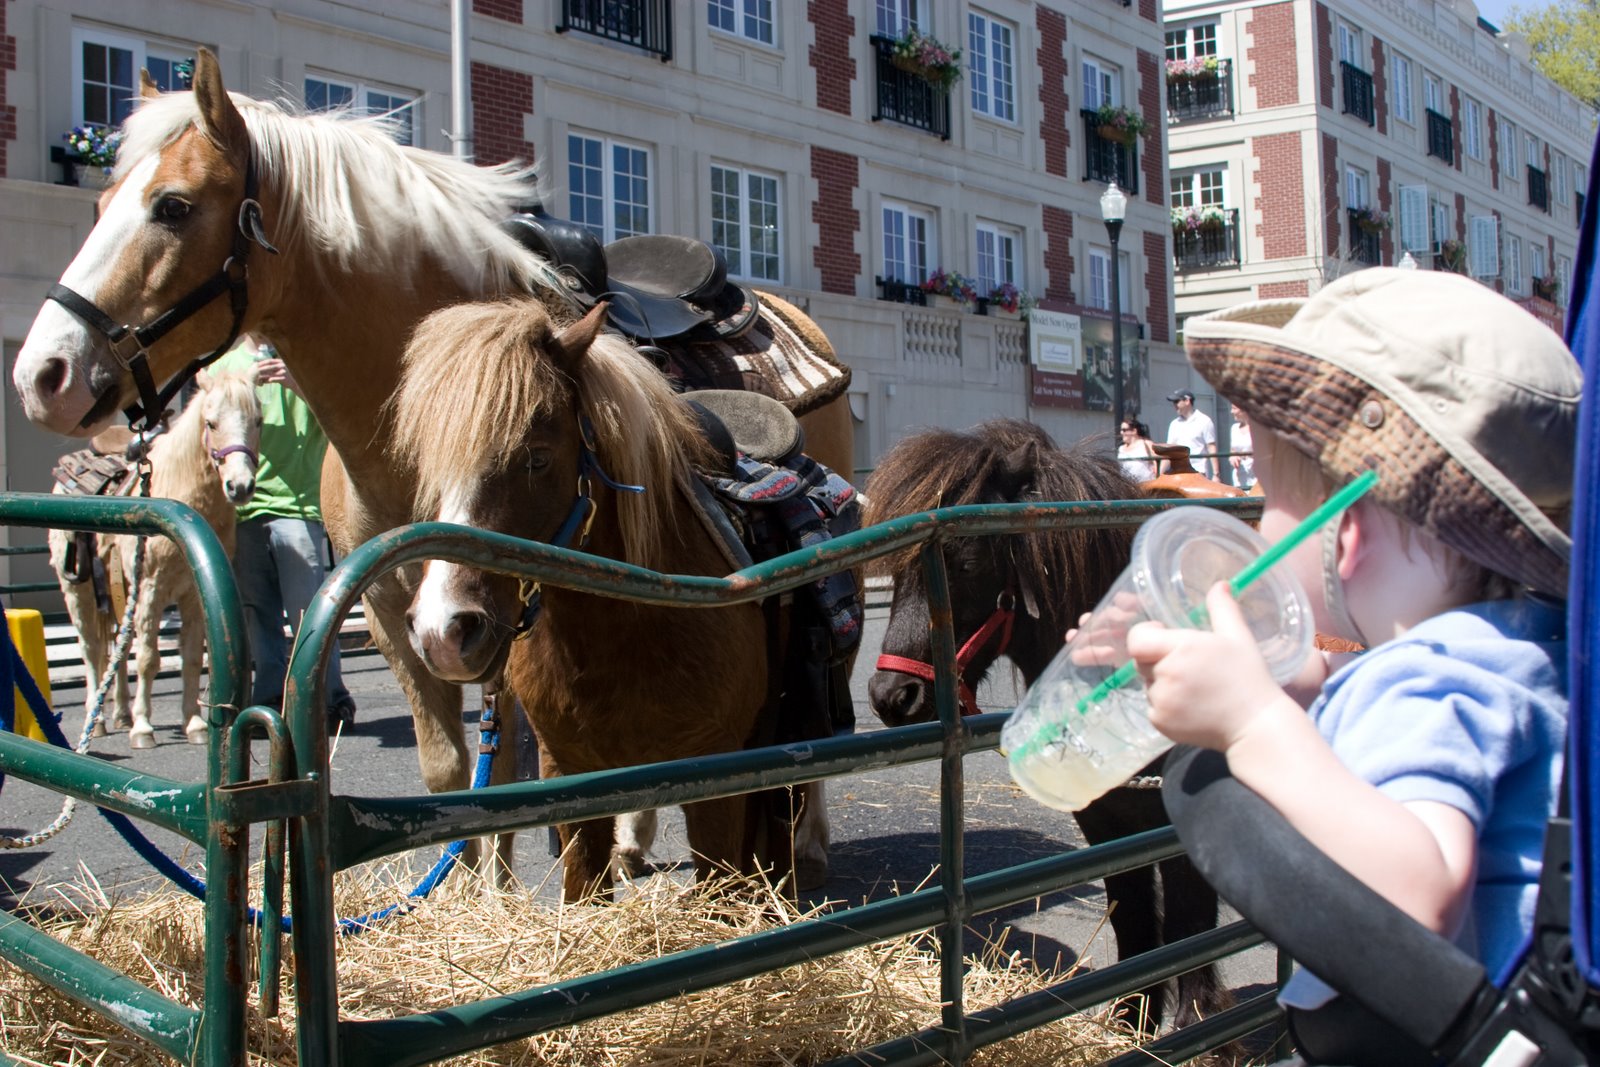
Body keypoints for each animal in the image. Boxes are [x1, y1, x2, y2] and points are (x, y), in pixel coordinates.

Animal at [48, 364, 261, 748]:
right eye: (211, 423)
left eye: (258, 421)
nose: (240, 486)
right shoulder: (151, 588)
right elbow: (148, 659)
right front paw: (143, 727)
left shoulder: (192, 595)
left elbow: (191, 658)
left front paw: (194, 725)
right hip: (78, 591)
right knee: (90, 649)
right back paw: (96, 721)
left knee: (116, 649)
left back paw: (118, 713)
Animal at [392, 298, 820, 901]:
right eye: (433, 464)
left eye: (537, 457)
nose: (443, 631)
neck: (625, 628)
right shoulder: (568, 774)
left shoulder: (717, 778)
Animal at [862, 419, 1230, 1032]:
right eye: (896, 569)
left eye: (965, 563)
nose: (892, 696)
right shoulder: (1106, 819)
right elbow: (1132, 913)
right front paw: (1130, 1024)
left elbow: (1190, 927)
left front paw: (1197, 1028)